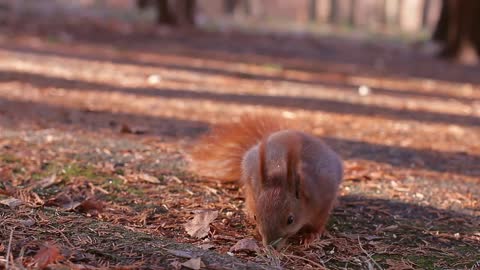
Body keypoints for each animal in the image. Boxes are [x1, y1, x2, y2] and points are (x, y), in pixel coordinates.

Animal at [189, 114, 344, 249]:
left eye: (290, 220)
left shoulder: (323, 199)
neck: (279, 173)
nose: (270, 246)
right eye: (256, 217)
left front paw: (311, 236)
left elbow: (318, 223)